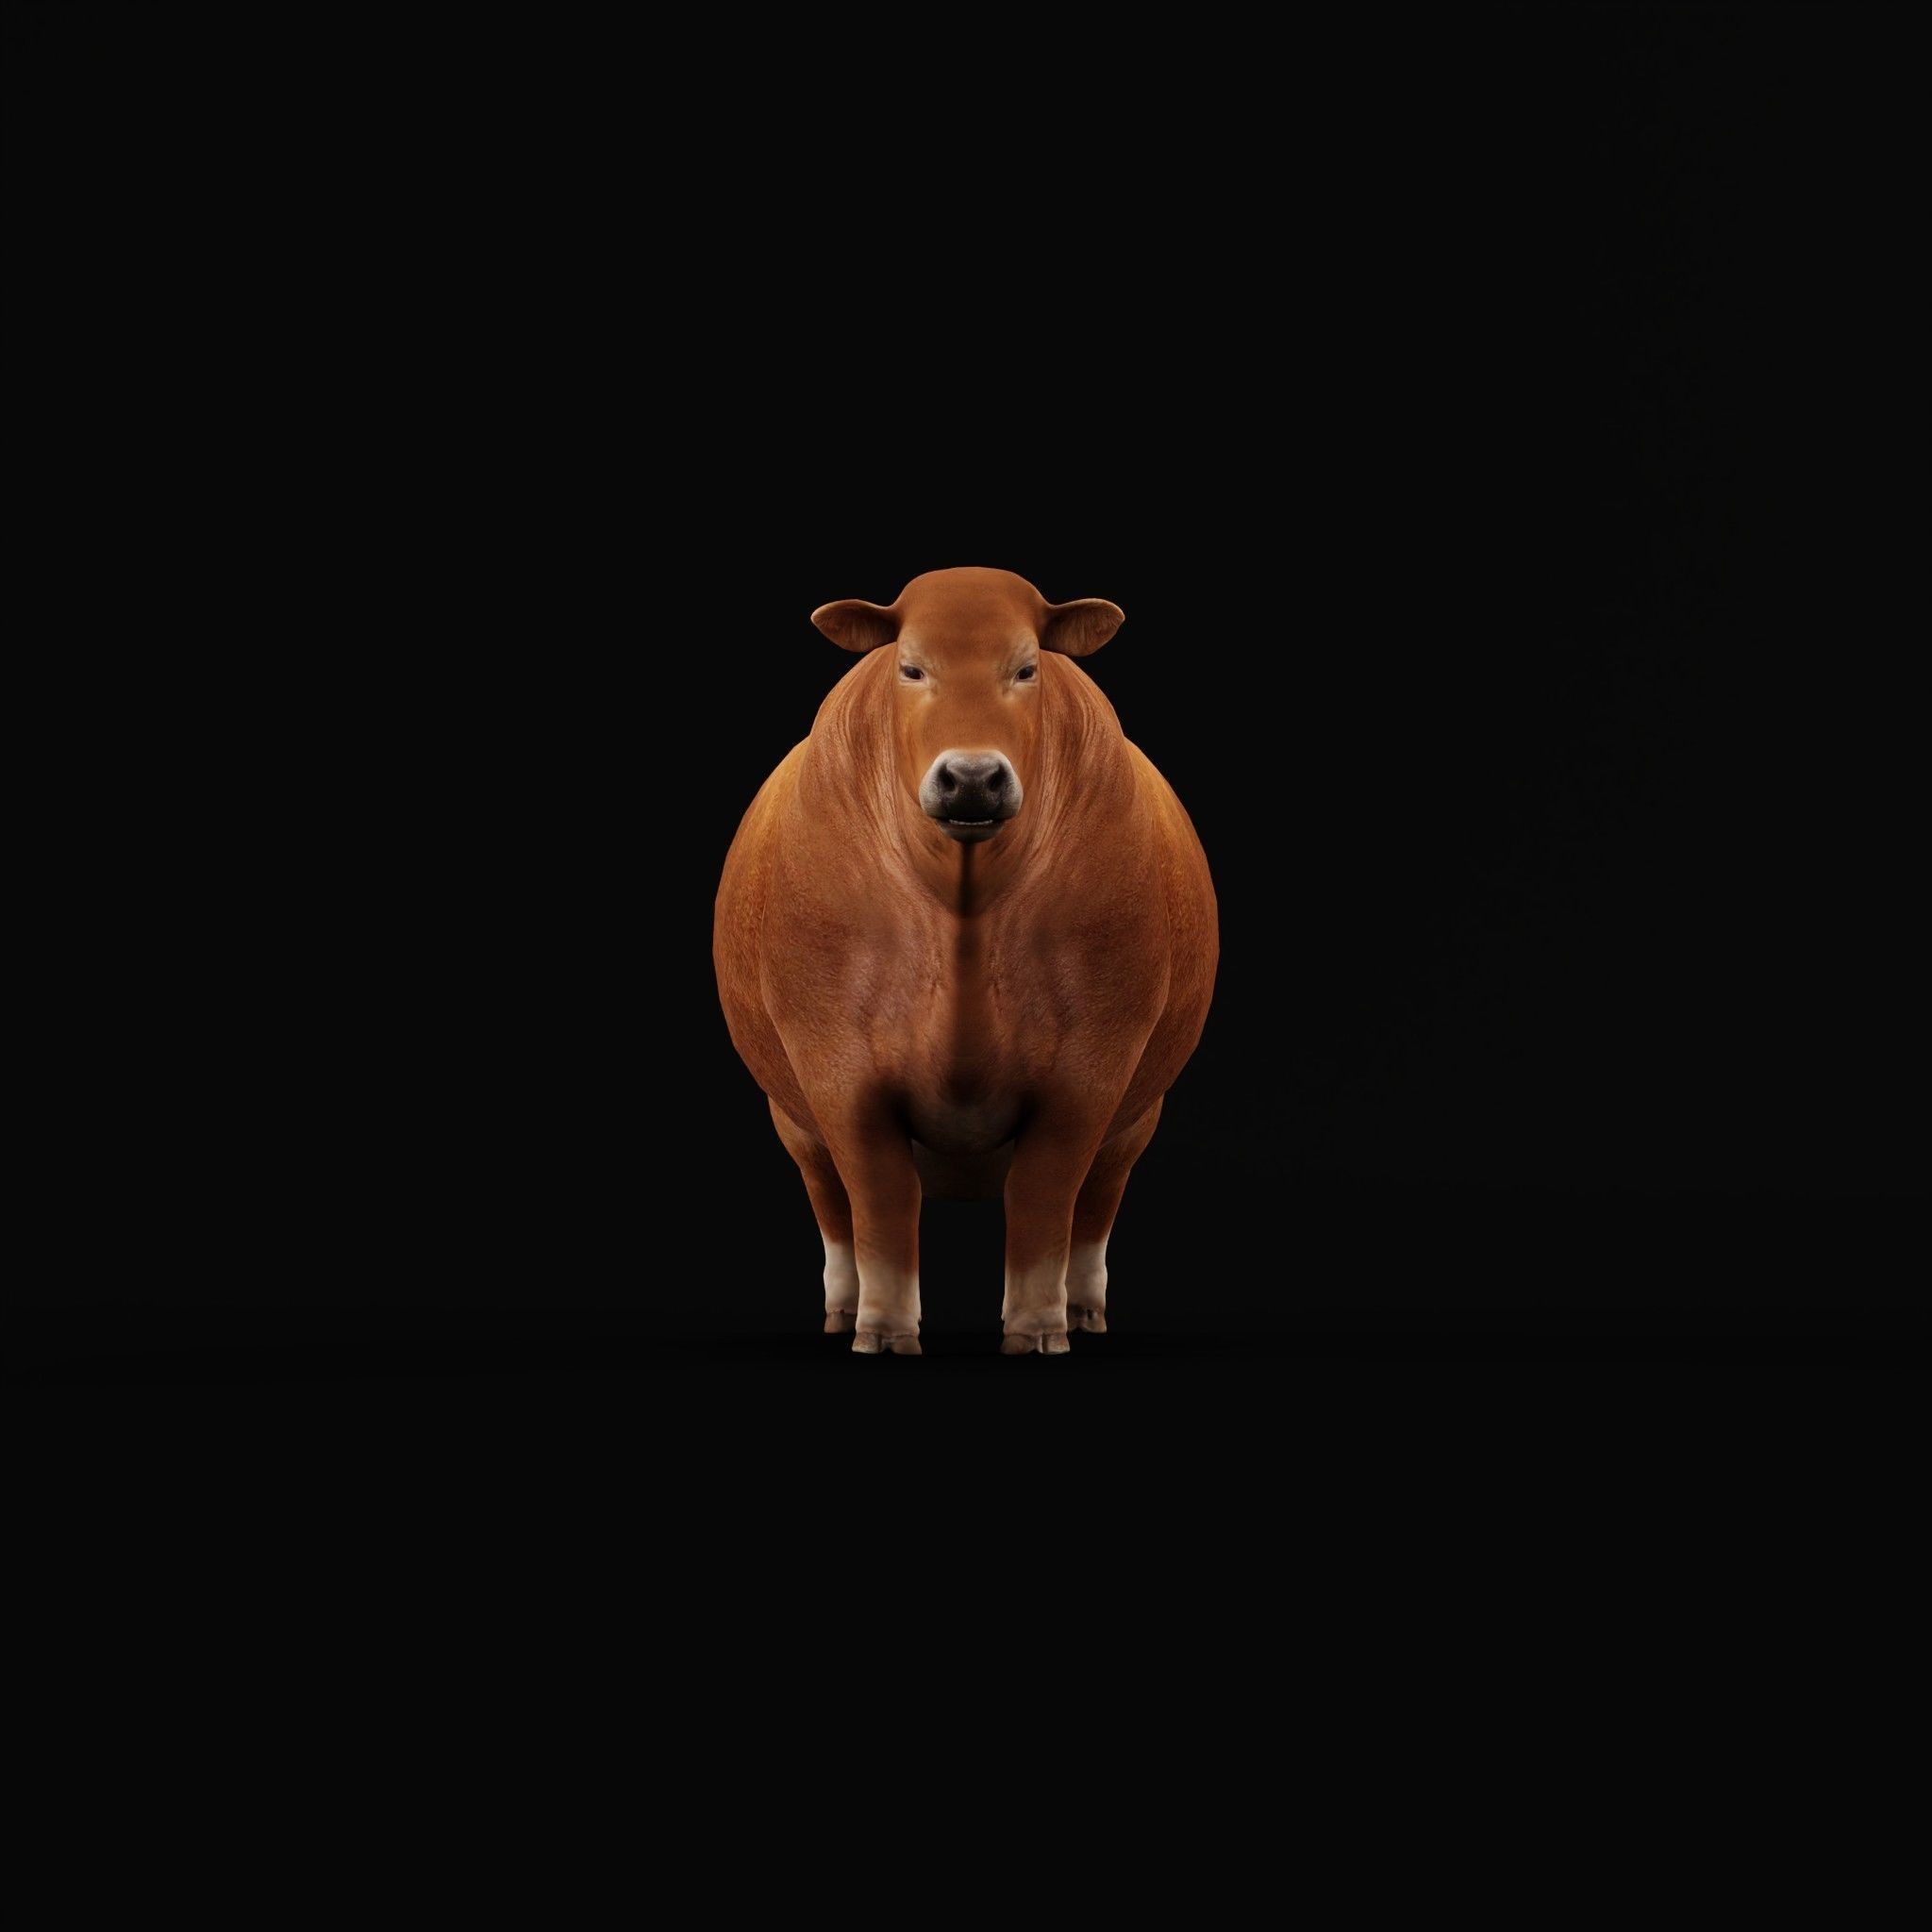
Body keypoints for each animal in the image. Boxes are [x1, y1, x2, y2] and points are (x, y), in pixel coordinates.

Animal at [713, 567, 1217, 1355]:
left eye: (1027, 668)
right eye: (911, 668)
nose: (974, 778)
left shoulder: (1092, 1070)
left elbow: (1044, 1198)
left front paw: (1038, 1328)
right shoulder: (835, 1067)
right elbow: (881, 1199)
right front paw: (884, 1329)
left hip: (1137, 1119)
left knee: (1094, 1205)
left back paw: (1083, 1308)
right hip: (792, 1121)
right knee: (834, 1204)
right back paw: (842, 1308)